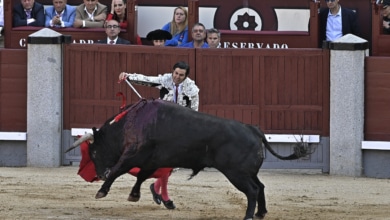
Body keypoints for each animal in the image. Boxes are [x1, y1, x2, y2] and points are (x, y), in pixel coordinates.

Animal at [66, 99, 310, 220]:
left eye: (94, 153)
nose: (99, 174)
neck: (130, 122)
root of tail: (254, 129)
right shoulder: (152, 159)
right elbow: (142, 176)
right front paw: (134, 195)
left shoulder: (133, 154)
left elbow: (120, 169)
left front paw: (102, 191)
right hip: (248, 171)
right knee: (261, 187)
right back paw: (260, 213)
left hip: (236, 173)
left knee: (252, 190)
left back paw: (249, 216)